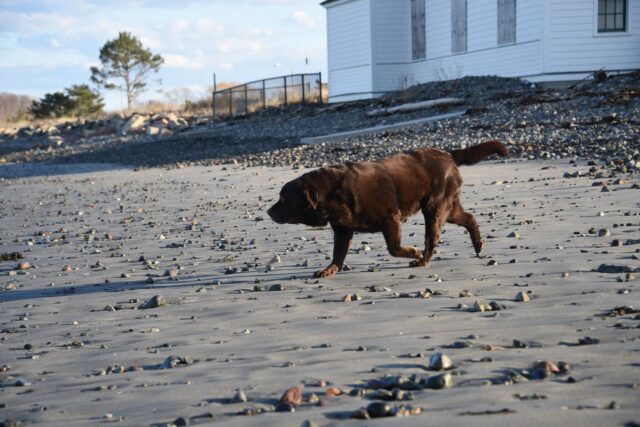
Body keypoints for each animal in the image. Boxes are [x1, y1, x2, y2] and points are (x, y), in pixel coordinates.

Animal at [267, 140, 508, 278]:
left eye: (283, 198)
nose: (268, 212)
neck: (332, 194)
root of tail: (448, 154)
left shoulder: (391, 218)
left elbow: (394, 248)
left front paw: (412, 251)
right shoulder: (343, 230)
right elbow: (338, 254)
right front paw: (329, 270)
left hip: (434, 208)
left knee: (432, 239)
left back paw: (422, 259)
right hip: (446, 208)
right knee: (469, 218)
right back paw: (478, 245)